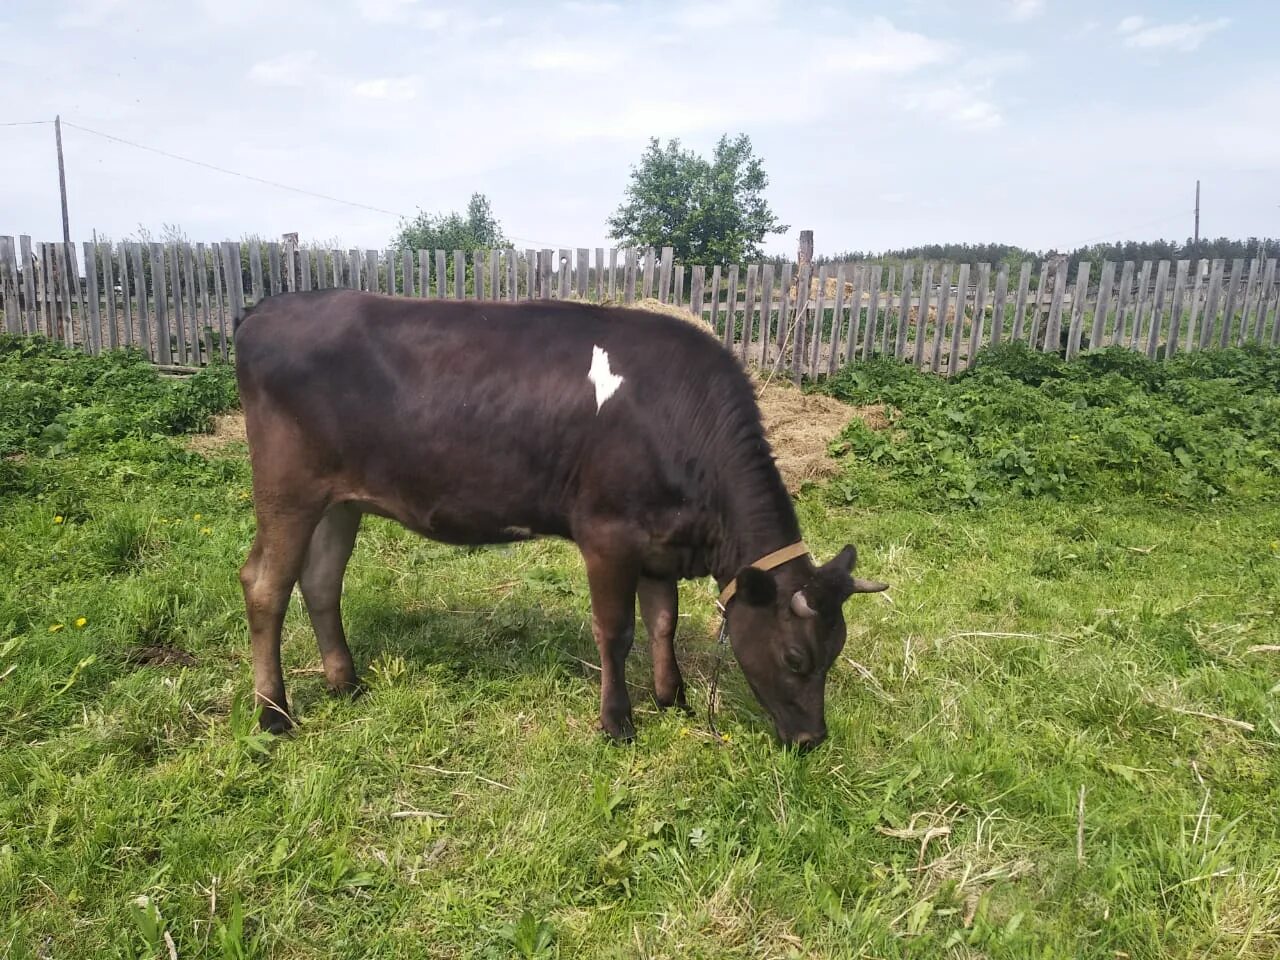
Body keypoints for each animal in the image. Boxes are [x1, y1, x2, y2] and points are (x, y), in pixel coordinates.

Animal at [232, 289, 890, 747]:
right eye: (796, 658)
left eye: (836, 651)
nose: (812, 739)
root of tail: (270, 308)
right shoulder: (607, 534)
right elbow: (616, 631)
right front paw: (617, 723)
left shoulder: (660, 539)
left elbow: (663, 621)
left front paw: (671, 698)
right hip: (288, 488)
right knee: (265, 585)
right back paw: (274, 714)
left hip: (340, 501)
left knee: (321, 582)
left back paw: (346, 684)